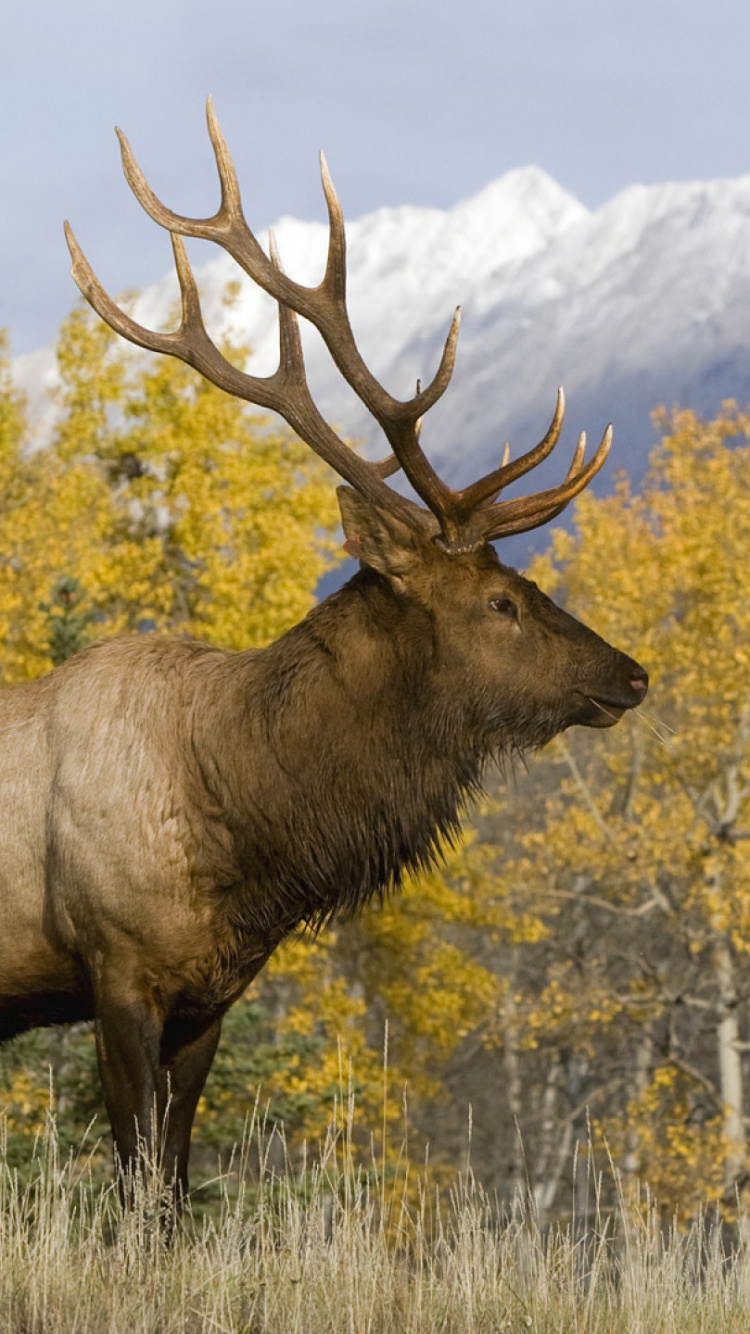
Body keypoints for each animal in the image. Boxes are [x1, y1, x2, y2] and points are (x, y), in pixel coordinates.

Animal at [0, 98, 645, 1195]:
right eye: (501, 600)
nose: (631, 674)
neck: (250, 831)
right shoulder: (116, 970)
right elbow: (137, 1184)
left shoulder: (210, 996)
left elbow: (175, 1184)